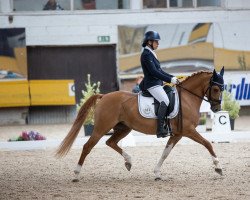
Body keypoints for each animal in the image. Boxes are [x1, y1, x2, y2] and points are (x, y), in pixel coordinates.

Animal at [56, 68, 225, 180]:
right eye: (216, 89)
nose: (217, 109)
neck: (187, 98)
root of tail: (104, 96)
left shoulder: (177, 134)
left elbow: (166, 152)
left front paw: (157, 173)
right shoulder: (188, 131)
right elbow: (207, 144)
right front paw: (218, 167)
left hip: (124, 128)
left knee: (110, 142)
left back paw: (129, 161)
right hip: (101, 128)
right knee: (87, 147)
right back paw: (76, 173)